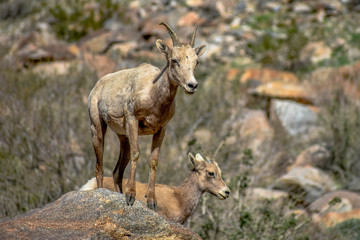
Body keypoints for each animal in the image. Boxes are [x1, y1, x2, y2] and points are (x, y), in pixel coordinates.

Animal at [87, 23, 207, 210]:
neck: (151, 92)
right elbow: (137, 154)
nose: (192, 85)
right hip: (97, 128)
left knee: (117, 172)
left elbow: (154, 161)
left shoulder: (160, 130)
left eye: (197, 61)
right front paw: (130, 196)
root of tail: (97, 87)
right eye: (174, 60)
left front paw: (151, 201)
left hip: (123, 137)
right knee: (99, 166)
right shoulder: (132, 120)